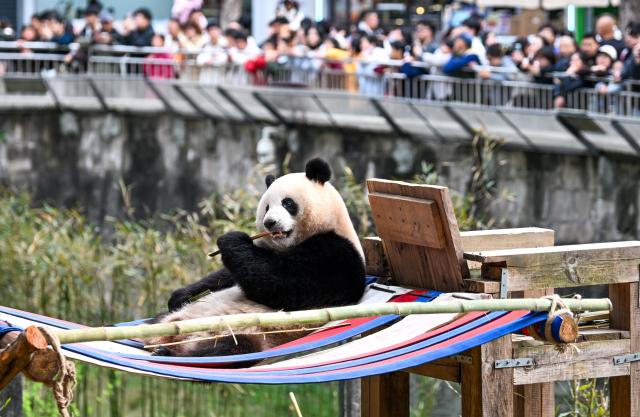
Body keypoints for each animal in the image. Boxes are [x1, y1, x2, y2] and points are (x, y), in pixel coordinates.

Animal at [146, 158, 366, 357]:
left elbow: (281, 282)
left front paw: (231, 240)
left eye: (287, 203)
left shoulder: (337, 255)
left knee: (231, 346)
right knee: (158, 319)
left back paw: (169, 352)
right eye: (267, 207)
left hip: (249, 333)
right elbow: (227, 275)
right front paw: (180, 295)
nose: (270, 223)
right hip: (174, 319)